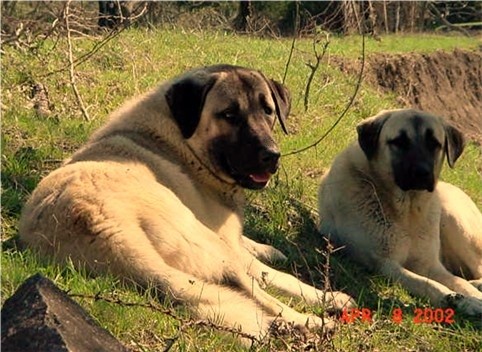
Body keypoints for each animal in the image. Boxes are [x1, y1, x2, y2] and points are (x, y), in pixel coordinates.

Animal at [19, 64, 354, 340]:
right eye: (229, 115)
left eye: (268, 111)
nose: (271, 156)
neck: (181, 141)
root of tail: (98, 224)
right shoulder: (227, 244)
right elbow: (277, 276)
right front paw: (328, 297)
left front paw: (267, 248)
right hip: (206, 243)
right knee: (259, 294)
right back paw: (311, 321)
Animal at [318, 108, 482, 318]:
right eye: (399, 142)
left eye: (434, 144)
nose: (422, 172)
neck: (406, 212)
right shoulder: (385, 264)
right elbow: (426, 283)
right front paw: (455, 299)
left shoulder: (430, 264)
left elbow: (458, 282)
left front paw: (471, 298)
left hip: (454, 220)